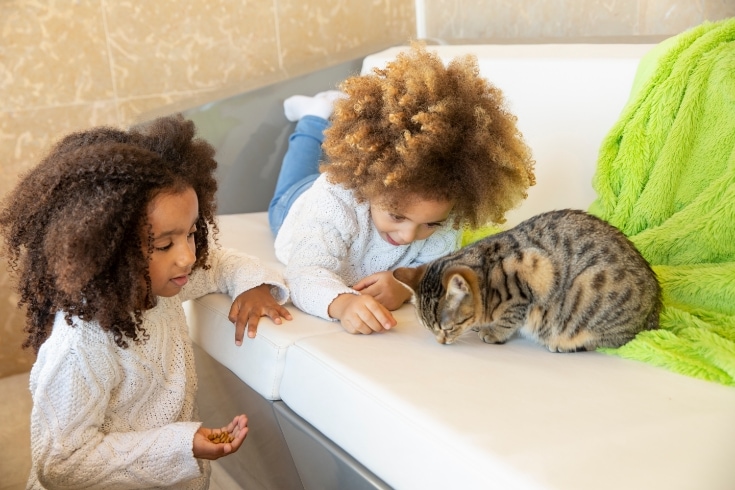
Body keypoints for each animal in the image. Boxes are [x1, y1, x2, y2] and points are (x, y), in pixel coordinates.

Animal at [394, 209, 664, 350]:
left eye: (447, 328)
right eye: (429, 329)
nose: (441, 341)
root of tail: (656, 308)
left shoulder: (530, 275)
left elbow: (509, 317)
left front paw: (493, 332)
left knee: (613, 340)